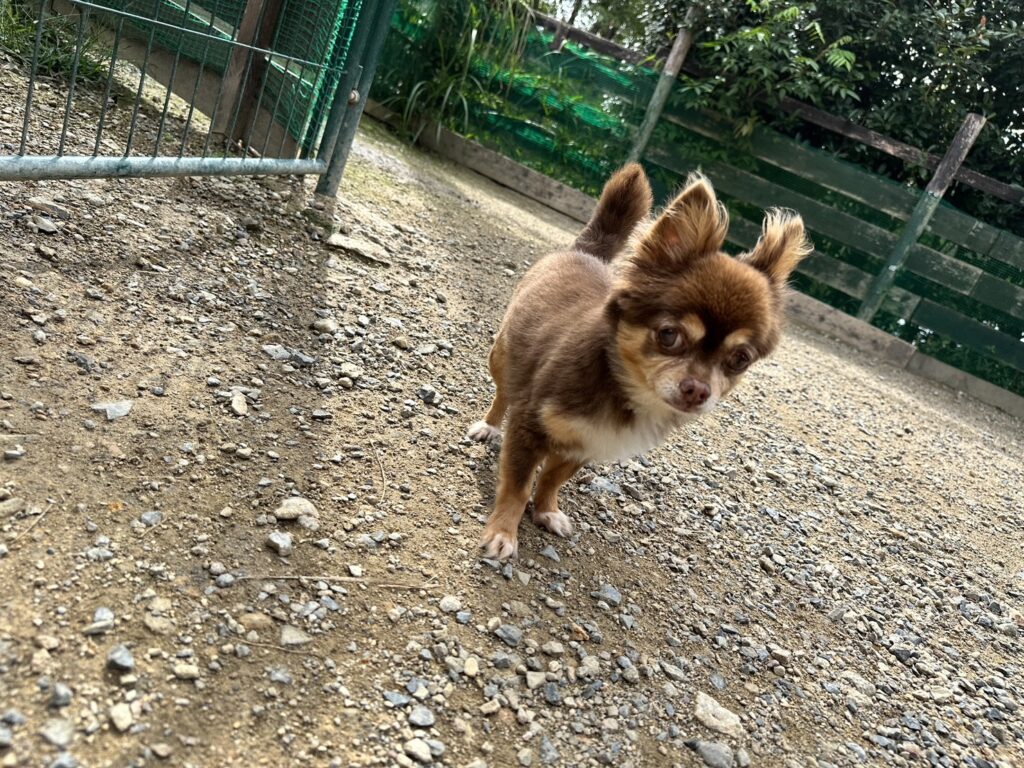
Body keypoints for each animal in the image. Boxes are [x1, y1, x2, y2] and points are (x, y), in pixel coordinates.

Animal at [467, 164, 811, 560]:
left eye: (739, 359)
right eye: (669, 335)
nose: (698, 390)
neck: (621, 383)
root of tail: (588, 253)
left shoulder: (590, 441)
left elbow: (553, 478)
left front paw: (547, 511)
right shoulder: (528, 425)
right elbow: (518, 485)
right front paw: (503, 532)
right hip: (503, 358)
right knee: (503, 393)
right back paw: (488, 426)